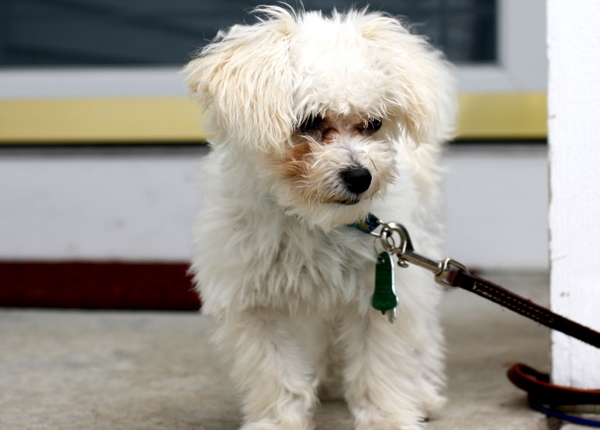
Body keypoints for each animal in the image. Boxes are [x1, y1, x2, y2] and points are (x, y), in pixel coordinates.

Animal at [183, 5, 454, 430]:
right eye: (309, 121)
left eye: (374, 123)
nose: (360, 177)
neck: (312, 220)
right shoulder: (253, 303)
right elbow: (275, 372)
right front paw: (278, 421)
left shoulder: (378, 297)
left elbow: (381, 368)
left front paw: (387, 417)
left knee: (422, 335)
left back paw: (424, 391)